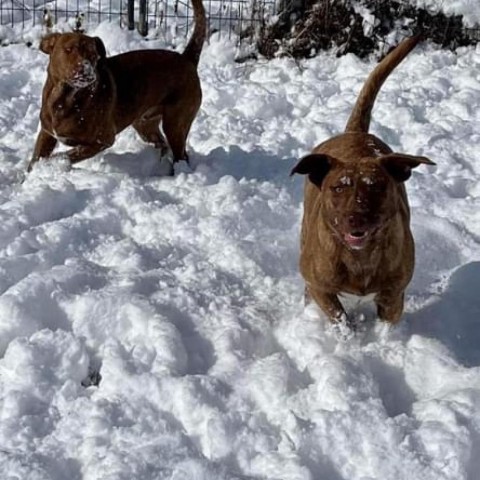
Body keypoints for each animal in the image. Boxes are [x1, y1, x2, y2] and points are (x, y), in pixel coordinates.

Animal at [27, 0, 205, 173]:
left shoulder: (102, 140)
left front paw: (51, 165)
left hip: (176, 123)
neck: (64, 98)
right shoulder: (47, 133)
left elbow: (67, 154)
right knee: (163, 145)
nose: (87, 71)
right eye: (68, 49)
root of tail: (187, 58)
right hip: (145, 125)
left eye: (93, 55)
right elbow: (35, 158)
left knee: (181, 156)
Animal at [288, 35, 436, 328]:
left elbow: (388, 317)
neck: (360, 257)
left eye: (376, 186)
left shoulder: (394, 293)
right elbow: (338, 316)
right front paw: (347, 333)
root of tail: (354, 132)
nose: (356, 217)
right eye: (338, 187)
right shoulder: (320, 286)